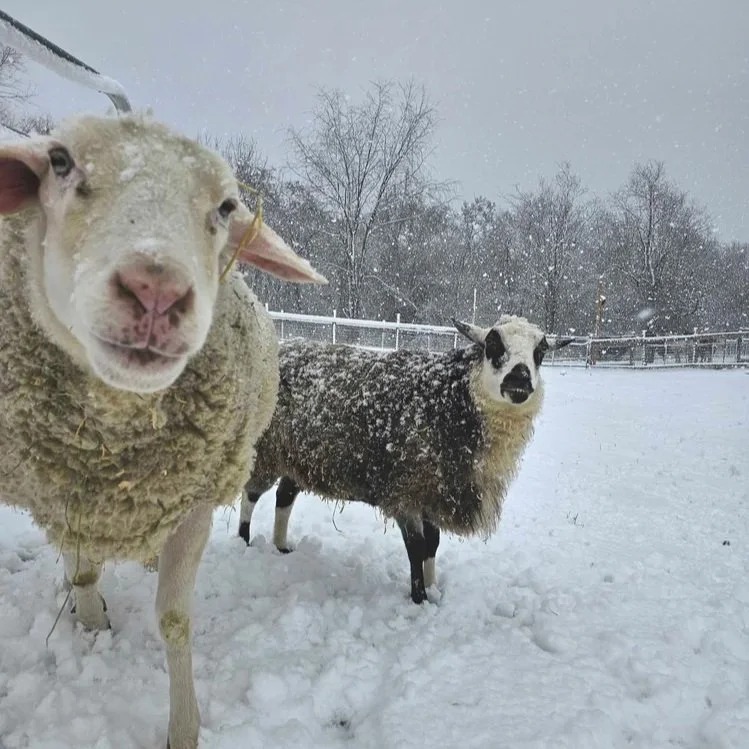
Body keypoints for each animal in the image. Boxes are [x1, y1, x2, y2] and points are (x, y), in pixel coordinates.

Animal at [0, 112, 325, 749]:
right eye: (59, 161)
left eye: (227, 206)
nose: (155, 289)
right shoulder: (62, 496)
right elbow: (83, 569)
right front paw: (93, 623)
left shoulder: (194, 500)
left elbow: (175, 620)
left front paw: (184, 728)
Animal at [239, 316, 570, 604]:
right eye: (492, 343)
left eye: (540, 352)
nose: (520, 378)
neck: (450, 402)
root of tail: (282, 348)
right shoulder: (406, 490)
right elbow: (416, 546)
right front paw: (419, 597)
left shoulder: (433, 492)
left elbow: (433, 544)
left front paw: (434, 590)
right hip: (266, 447)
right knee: (251, 495)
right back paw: (244, 541)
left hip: (300, 457)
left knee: (284, 496)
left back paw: (281, 546)